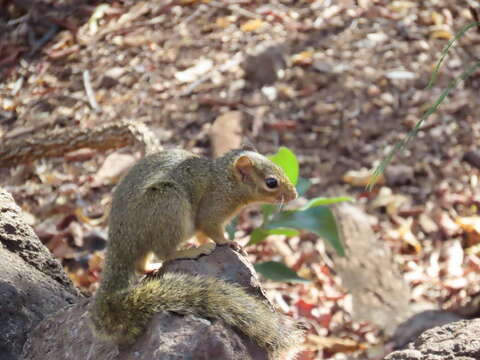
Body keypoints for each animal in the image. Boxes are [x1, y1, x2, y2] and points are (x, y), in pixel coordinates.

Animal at [90, 148, 304, 358]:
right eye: (271, 182)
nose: (294, 195)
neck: (225, 180)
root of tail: (121, 241)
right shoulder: (212, 208)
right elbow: (211, 228)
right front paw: (229, 242)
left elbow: (203, 233)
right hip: (169, 205)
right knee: (164, 253)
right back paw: (190, 251)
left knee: (141, 264)